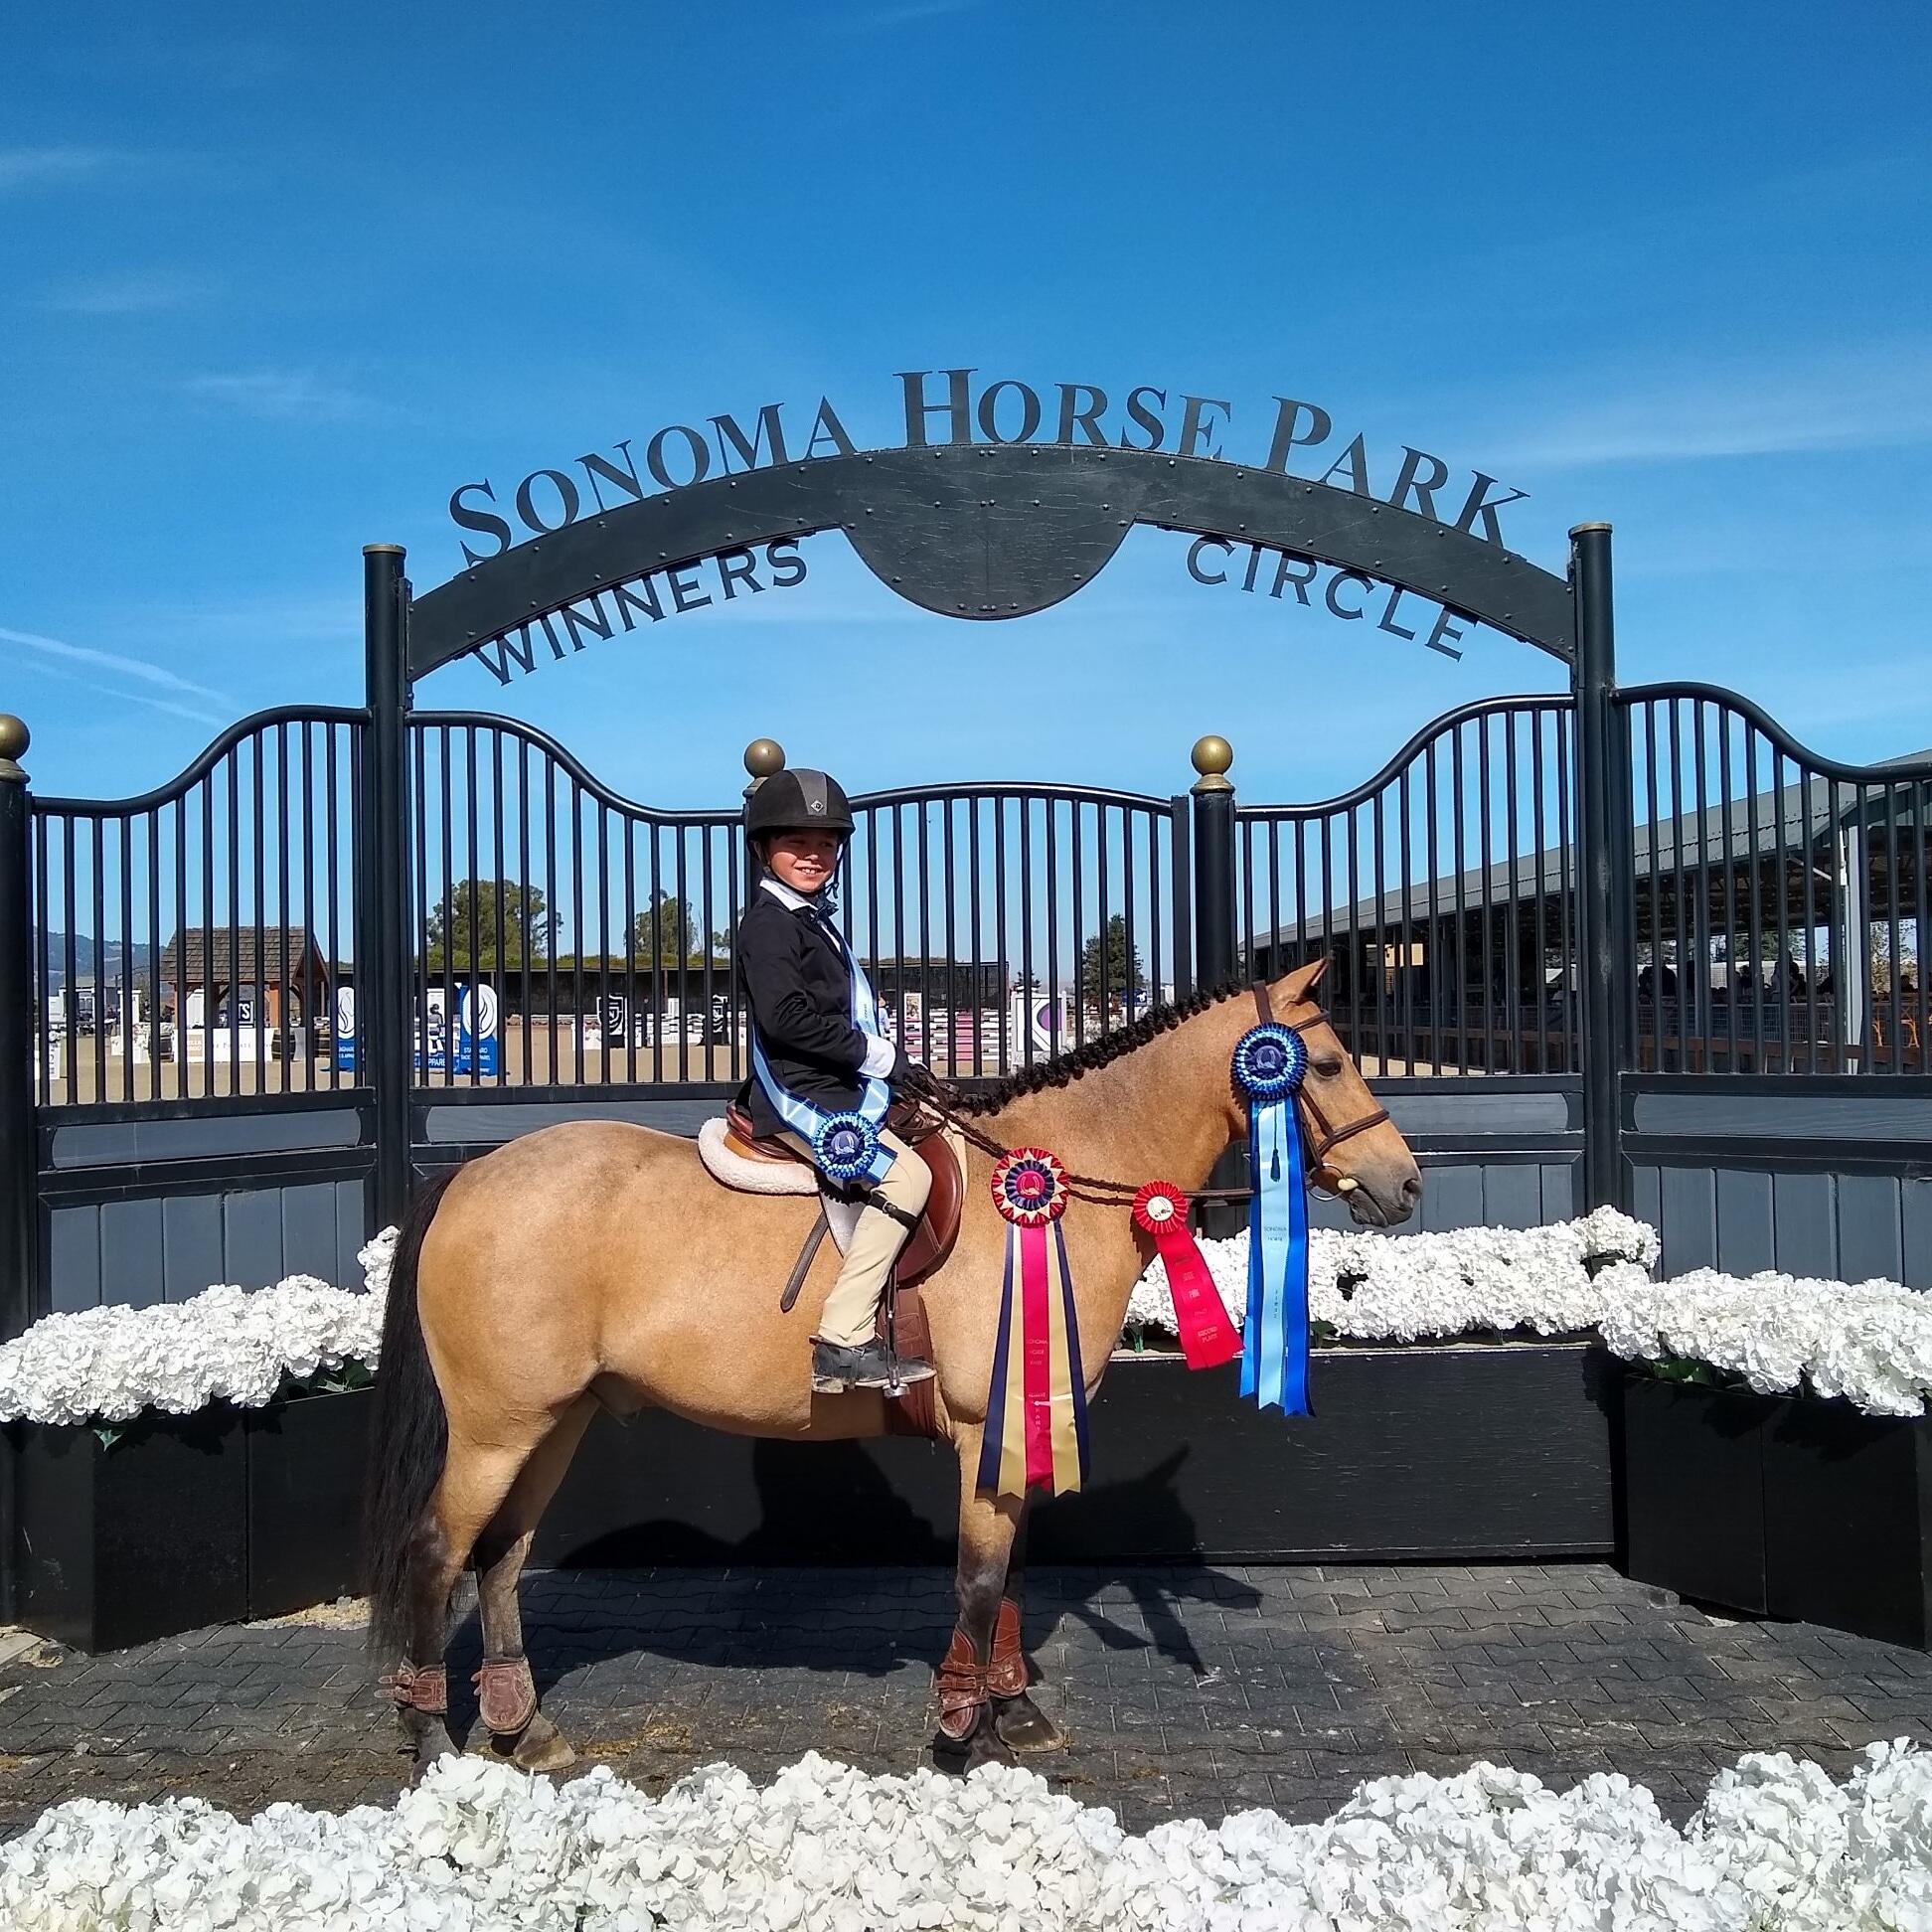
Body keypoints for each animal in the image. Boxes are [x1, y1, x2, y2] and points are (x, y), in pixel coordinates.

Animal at [363, 966, 1421, 1777]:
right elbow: (980, 1579)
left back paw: (524, 1730)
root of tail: (470, 1174)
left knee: (501, 1556)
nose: (1403, 1184)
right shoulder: (984, 1423)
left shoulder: (1020, 1424)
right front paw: (966, 1735)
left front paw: (1013, 1712)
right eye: (1327, 1063)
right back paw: (428, 1737)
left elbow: (1014, 1571)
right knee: (439, 1551)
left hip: (556, 1418)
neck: (1051, 1179)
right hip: (497, 1428)